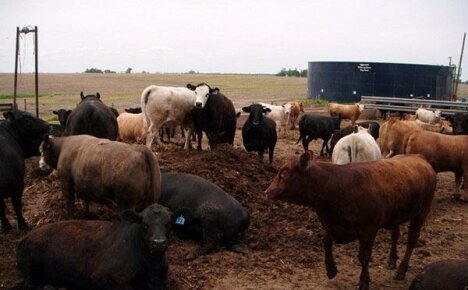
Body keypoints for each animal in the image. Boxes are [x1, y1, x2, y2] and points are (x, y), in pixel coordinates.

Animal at [16, 204, 175, 290]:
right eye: (145, 224)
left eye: (168, 223)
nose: (159, 242)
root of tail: (25, 238)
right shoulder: (102, 275)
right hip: (30, 273)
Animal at [266, 152, 436, 290]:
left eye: (284, 173)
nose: (267, 191)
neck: (337, 186)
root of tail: (420, 158)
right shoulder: (332, 225)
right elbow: (326, 243)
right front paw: (331, 269)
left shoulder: (368, 229)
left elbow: (364, 257)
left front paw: (364, 281)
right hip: (396, 215)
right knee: (395, 233)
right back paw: (392, 260)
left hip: (421, 213)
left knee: (411, 241)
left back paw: (401, 270)